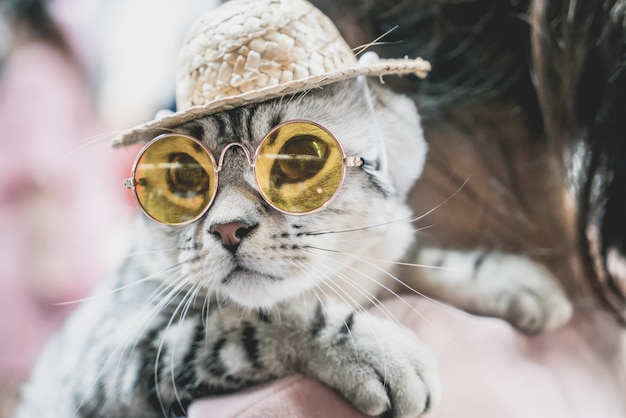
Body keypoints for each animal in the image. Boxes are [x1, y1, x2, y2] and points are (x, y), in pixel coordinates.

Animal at [15, 0, 572, 418]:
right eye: (183, 177)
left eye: (299, 159)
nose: (228, 229)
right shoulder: (109, 356)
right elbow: (253, 320)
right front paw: (379, 352)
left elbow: (410, 260)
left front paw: (508, 279)